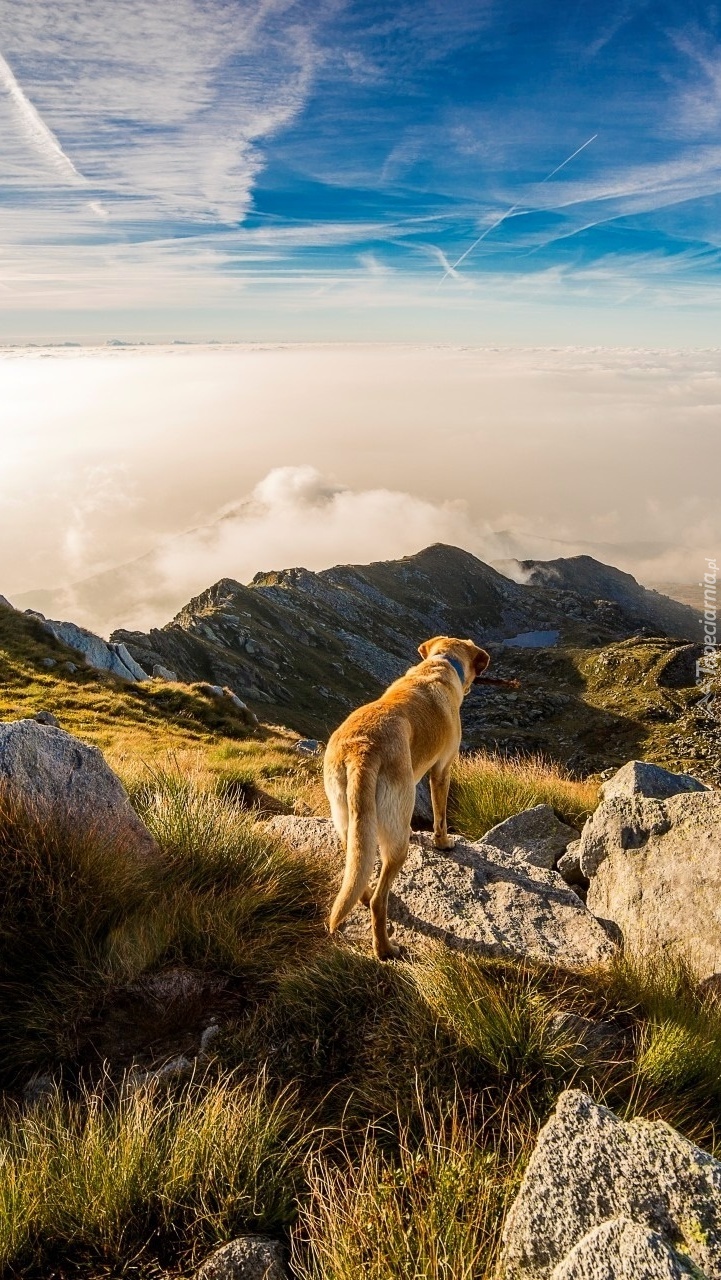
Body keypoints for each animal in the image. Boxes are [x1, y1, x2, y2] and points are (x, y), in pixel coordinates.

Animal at [325, 634, 499, 957]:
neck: (440, 663)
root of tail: (362, 750)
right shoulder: (442, 769)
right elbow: (440, 815)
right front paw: (443, 843)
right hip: (397, 832)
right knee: (380, 900)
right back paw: (385, 949)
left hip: (347, 818)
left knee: (357, 870)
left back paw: (362, 898)